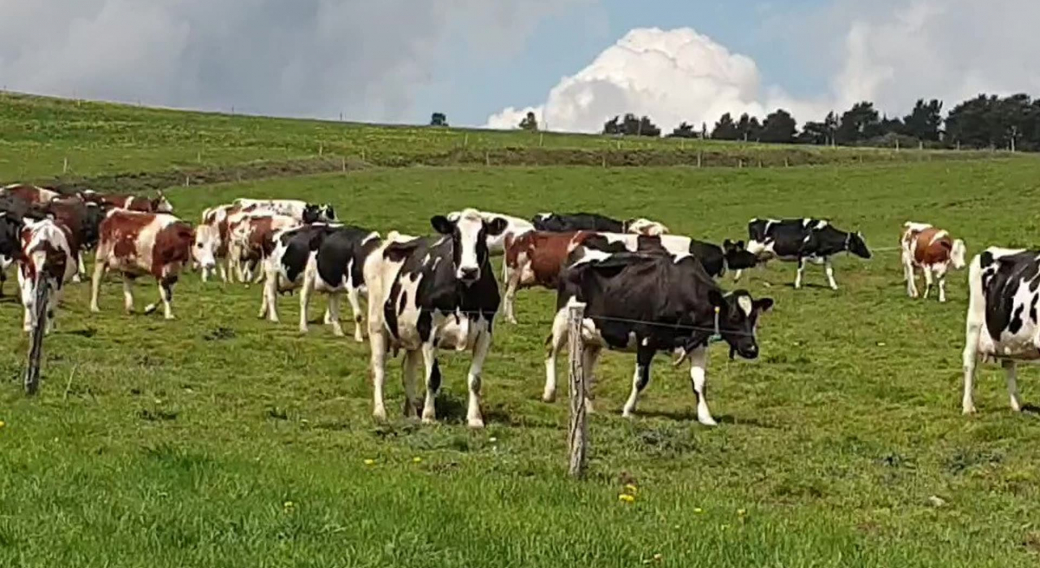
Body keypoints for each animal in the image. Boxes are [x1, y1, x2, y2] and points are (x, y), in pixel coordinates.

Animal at [366, 208, 507, 424]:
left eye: (483, 236)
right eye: (455, 236)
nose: (469, 270)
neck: (465, 300)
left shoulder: (485, 334)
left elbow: (475, 379)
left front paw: (475, 419)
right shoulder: (429, 333)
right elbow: (432, 378)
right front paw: (429, 416)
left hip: (412, 337)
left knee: (408, 372)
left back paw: (412, 413)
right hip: (377, 326)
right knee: (379, 369)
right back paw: (380, 412)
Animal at [501, 228, 757, 322]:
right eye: (742, 252)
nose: (755, 258)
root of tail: (518, 235)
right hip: (514, 274)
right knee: (509, 296)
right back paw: (511, 319)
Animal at [544, 246, 773, 420]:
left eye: (754, 318)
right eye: (734, 317)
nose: (752, 349)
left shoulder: (699, 344)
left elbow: (700, 381)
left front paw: (706, 417)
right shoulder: (647, 339)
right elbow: (640, 379)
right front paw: (628, 410)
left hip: (594, 335)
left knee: (585, 367)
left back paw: (589, 407)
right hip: (563, 319)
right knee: (551, 349)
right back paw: (549, 392)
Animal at [736, 215, 873, 287]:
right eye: (860, 243)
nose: (869, 255)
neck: (820, 234)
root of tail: (755, 220)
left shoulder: (826, 256)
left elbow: (829, 272)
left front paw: (834, 286)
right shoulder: (802, 253)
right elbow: (800, 270)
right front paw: (797, 285)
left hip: (765, 254)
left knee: (761, 267)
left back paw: (767, 283)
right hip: (753, 248)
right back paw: (737, 279)